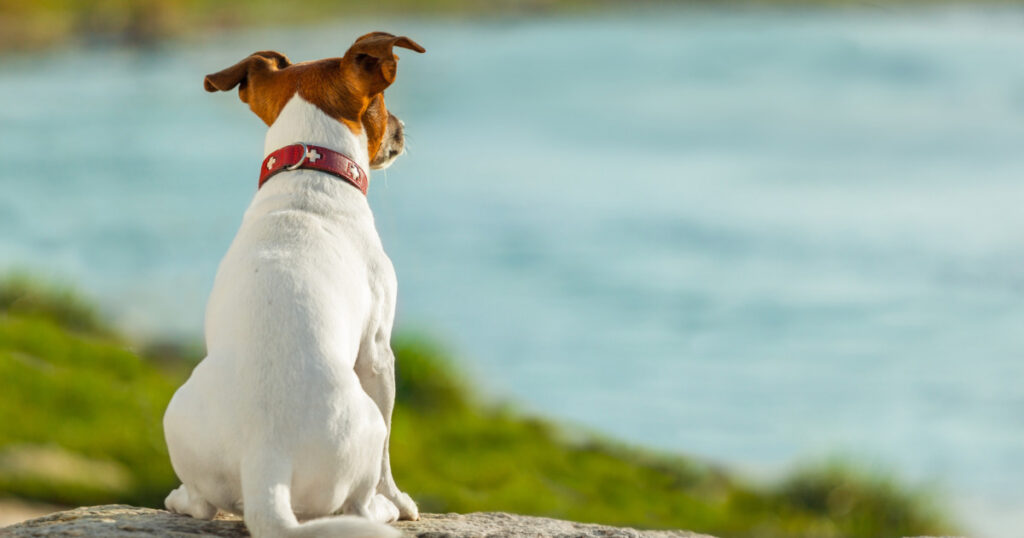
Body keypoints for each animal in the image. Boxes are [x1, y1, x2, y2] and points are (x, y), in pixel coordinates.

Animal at [162, 33, 423, 536]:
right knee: (359, 502)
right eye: (383, 105)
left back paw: (179, 498)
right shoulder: (378, 352)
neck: (309, 170)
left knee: (203, 503)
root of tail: (266, 461)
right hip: (363, 423)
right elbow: (387, 458)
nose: (404, 128)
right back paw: (382, 508)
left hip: (178, 415)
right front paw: (400, 499)